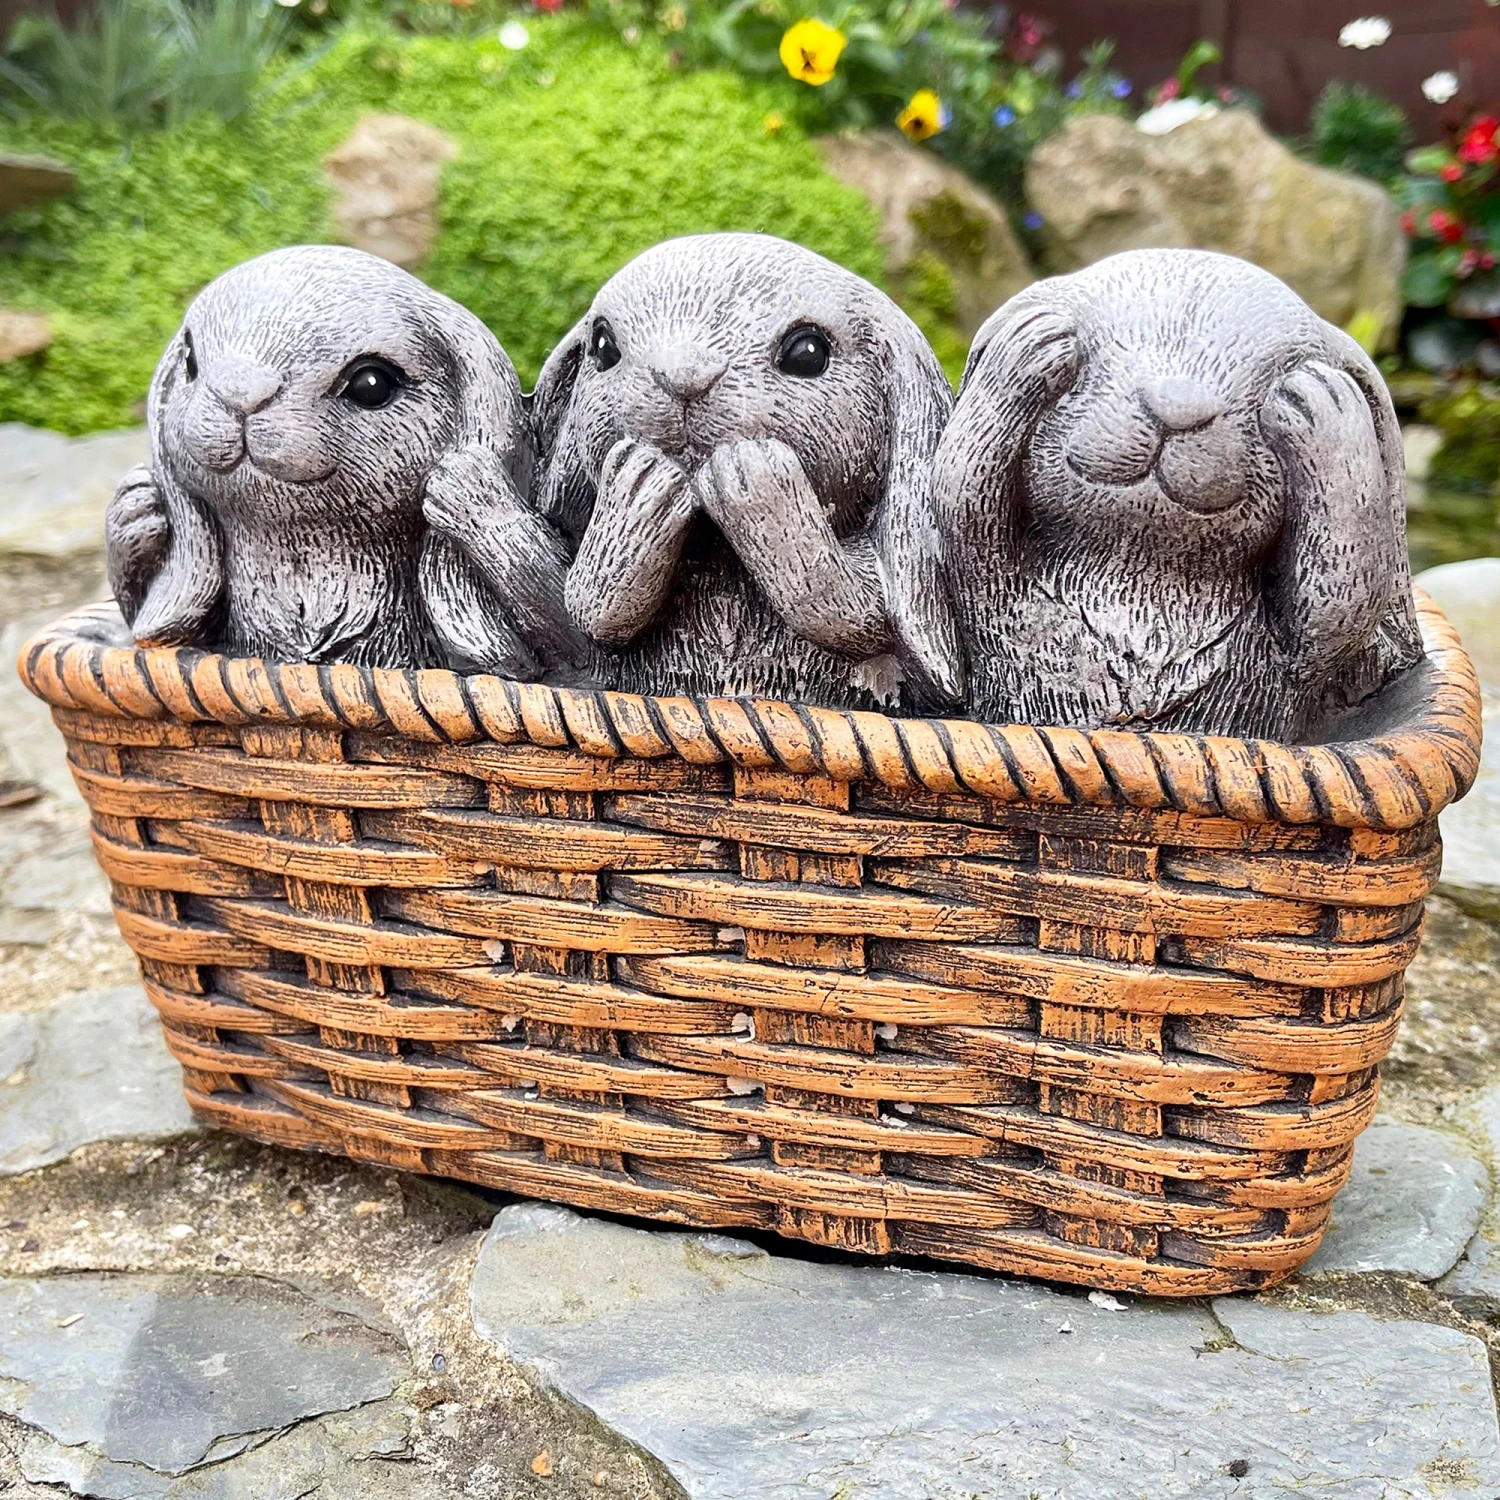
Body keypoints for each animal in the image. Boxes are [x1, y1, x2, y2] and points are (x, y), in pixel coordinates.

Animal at [105, 244, 582, 676]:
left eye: (371, 383)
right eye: (189, 360)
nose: (240, 391)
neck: (307, 568)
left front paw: (470, 491)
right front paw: (137, 508)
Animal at [473, 232, 961, 710]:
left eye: (809, 353)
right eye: (604, 347)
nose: (684, 376)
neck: (721, 566)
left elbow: (854, 609)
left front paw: (751, 477)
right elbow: (591, 608)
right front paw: (643, 484)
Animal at [929, 248, 1423, 741]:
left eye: (1260, 380)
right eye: (1109, 351)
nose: (1178, 406)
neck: (1137, 594)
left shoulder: (1290, 659)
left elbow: (1341, 600)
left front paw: (1322, 401)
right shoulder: (1002, 607)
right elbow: (965, 501)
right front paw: (1030, 344)